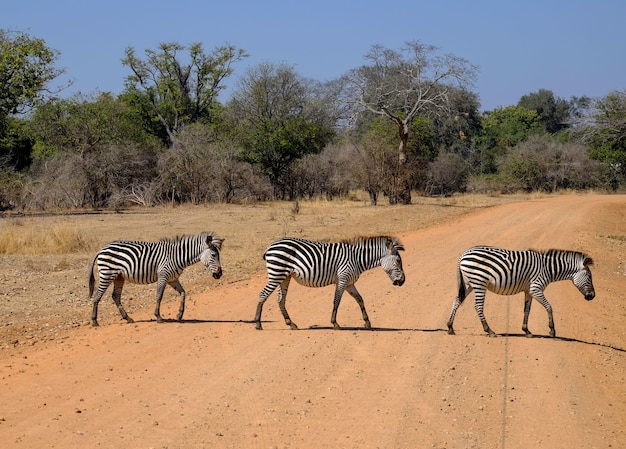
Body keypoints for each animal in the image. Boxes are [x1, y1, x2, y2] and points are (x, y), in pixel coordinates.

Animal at [87, 231, 224, 326]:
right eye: (213, 255)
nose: (219, 274)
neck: (178, 256)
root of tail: (102, 248)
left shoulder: (172, 279)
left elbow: (183, 293)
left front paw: (179, 315)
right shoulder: (163, 276)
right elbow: (159, 296)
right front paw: (158, 317)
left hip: (118, 276)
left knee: (115, 296)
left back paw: (128, 318)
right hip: (107, 274)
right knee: (97, 296)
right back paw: (94, 321)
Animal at [254, 234, 404, 328]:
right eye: (398, 261)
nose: (402, 281)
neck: (357, 259)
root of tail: (270, 246)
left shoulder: (349, 283)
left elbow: (360, 299)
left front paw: (367, 322)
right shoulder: (342, 279)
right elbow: (336, 301)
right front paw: (335, 323)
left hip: (284, 276)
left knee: (280, 299)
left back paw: (291, 323)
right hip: (277, 273)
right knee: (263, 294)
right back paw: (258, 323)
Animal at [444, 245, 596, 336]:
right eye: (589, 277)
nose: (593, 296)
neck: (548, 269)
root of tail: (464, 254)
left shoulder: (529, 291)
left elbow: (527, 310)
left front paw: (526, 330)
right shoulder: (536, 288)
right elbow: (549, 307)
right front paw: (552, 330)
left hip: (469, 283)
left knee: (456, 301)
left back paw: (450, 327)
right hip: (479, 282)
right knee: (478, 306)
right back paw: (489, 330)